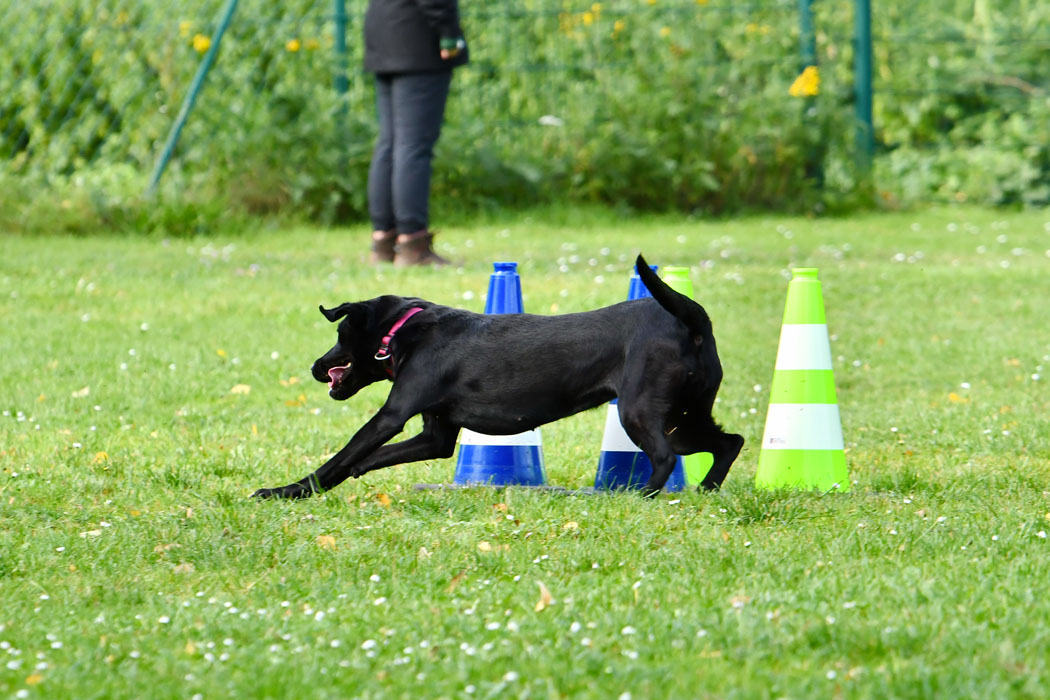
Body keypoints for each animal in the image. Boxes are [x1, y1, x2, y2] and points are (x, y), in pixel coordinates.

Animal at [254, 255, 743, 501]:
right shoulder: (435, 436)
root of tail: (692, 322)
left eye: (339, 334)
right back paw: (706, 491)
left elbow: (343, 454)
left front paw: (287, 491)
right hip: (683, 416)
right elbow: (374, 456)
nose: (316, 366)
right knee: (729, 442)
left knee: (664, 457)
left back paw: (638, 497)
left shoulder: (392, 414)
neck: (405, 330)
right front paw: (355, 471)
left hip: (639, 412)